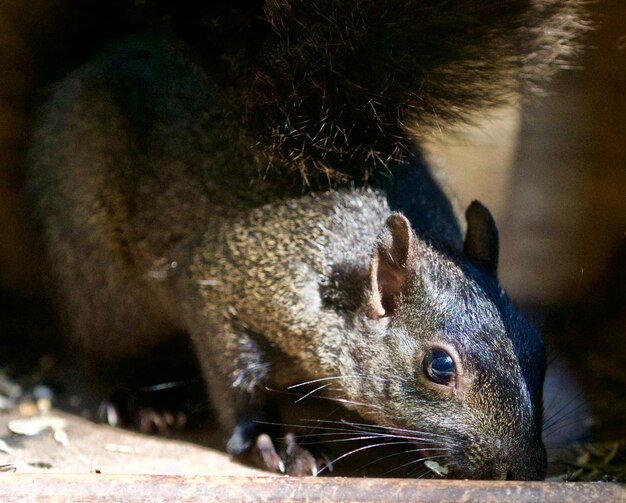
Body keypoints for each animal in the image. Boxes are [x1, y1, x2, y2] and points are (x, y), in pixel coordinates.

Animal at [24, 0, 584, 480]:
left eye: (538, 347)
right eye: (439, 367)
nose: (527, 471)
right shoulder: (223, 283)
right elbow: (236, 381)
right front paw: (272, 441)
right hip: (101, 279)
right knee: (103, 345)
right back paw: (143, 397)